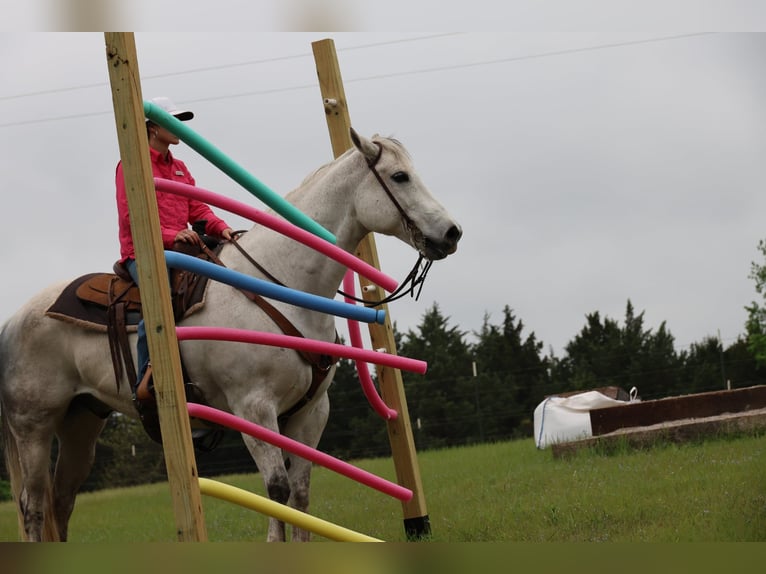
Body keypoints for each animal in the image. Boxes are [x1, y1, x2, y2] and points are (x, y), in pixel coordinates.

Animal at [0, 128, 462, 542]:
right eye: (400, 176)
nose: (452, 232)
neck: (280, 282)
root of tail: (14, 321)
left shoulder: (311, 412)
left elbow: (300, 494)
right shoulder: (253, 408)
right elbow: (277, 490)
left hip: (82, 421)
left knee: (61, 501)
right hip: (34, 426)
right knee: (33, 505)